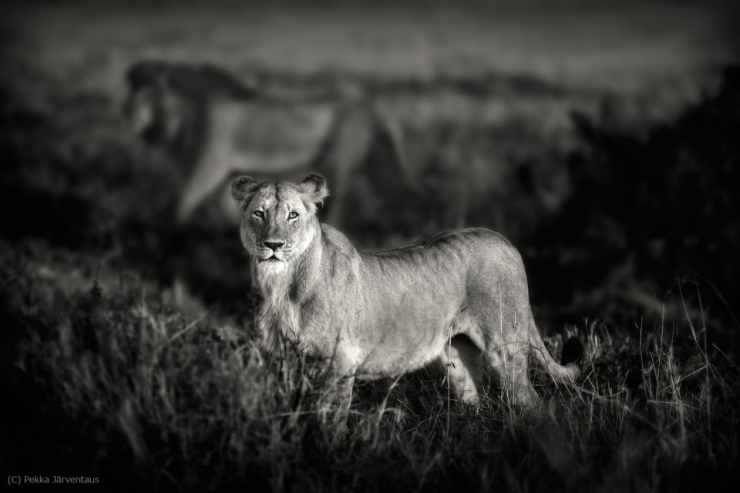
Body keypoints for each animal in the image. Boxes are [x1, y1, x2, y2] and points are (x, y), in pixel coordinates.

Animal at [124, 61, 419, 239]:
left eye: (149, 95)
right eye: (132, 93)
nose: (127, 115)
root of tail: (369, 104)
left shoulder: (212, 164)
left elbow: (182, 204)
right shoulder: (225, 173)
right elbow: (222, 210)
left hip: (341, 159)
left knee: (339, 203)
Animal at [231, 173, 581, 417]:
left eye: (293, 215)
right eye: (259, 214)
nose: (273, 245)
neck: (282, 286)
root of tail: (504, 240)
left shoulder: (340, 361)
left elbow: (330, 418)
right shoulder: (280, 362)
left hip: (505, 343)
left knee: (532, 402)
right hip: (458, 355)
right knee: (474, 402)